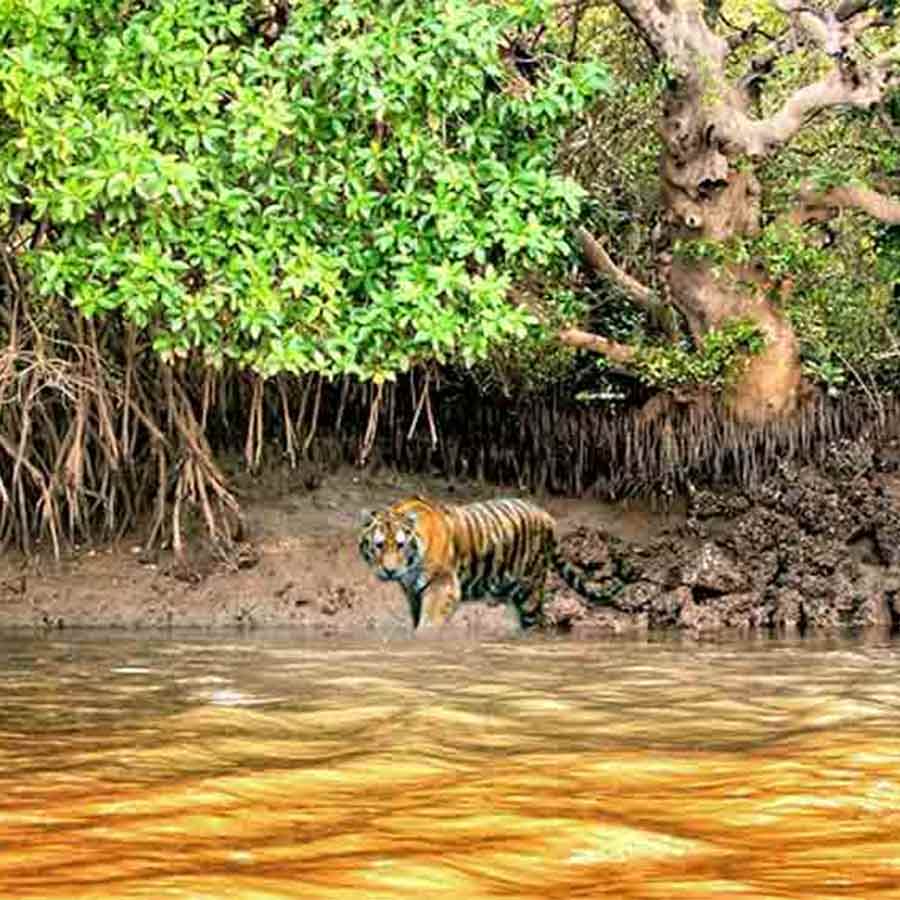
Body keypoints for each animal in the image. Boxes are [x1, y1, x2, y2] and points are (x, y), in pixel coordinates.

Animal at [358, 495, 624, 632]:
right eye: (379, 545)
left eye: (400, 545)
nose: (389, 570)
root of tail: (547, 516)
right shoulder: (413, 591)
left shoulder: (443, 586)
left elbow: (429, 623)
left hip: (530, 588)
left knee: (538, 620)